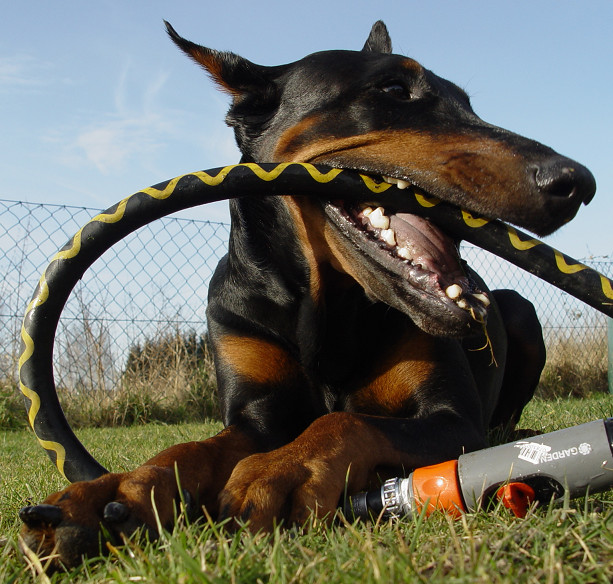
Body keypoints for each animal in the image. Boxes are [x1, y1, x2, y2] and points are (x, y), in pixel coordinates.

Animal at [17, 21, 592, 564]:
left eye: (469, 104)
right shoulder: (255, 413)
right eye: (393, 88)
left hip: (522, 314)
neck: (325, 307)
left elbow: (344, 420)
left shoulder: (453, 418)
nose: (578, 183)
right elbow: (192, 447)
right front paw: (114, 490)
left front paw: (282, 470)